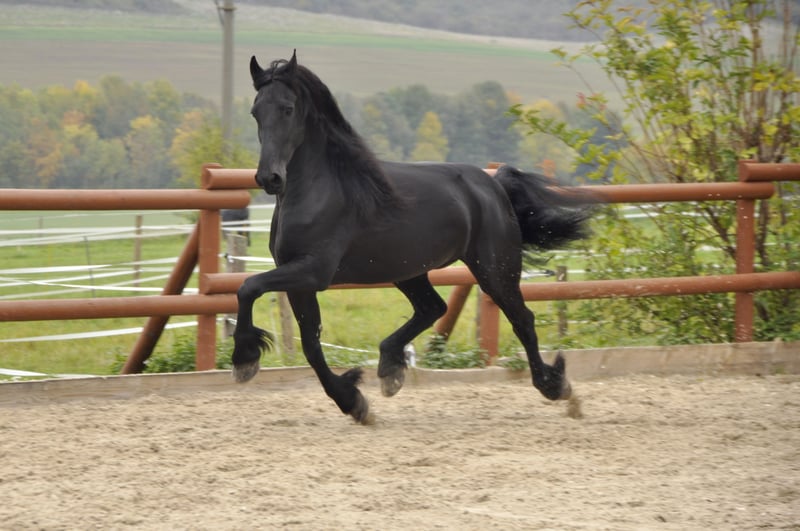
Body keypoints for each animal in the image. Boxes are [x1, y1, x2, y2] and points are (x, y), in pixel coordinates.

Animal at [232, 51, 595, 424]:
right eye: (256, 111)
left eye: (287, 108)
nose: (269, 178)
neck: (320, 191)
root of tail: (493, 185)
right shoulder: (299, 280)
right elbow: (310, 343)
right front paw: (352, 401)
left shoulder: (313, 270)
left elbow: (249, 287)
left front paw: (245, 358)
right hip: (407, 269)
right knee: (433, 307)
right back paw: (390, 368)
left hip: (494, 269)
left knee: (521, 319)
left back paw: (556, 387)